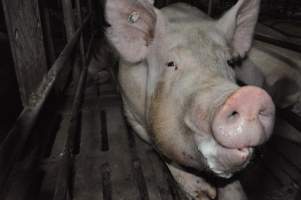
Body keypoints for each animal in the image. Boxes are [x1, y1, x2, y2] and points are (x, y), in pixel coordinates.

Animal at [105, 0, 274, 199]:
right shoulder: (133, 116)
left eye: (230, 62)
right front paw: (203, 193)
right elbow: (165, 153)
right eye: (171, 64)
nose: (249, 97)